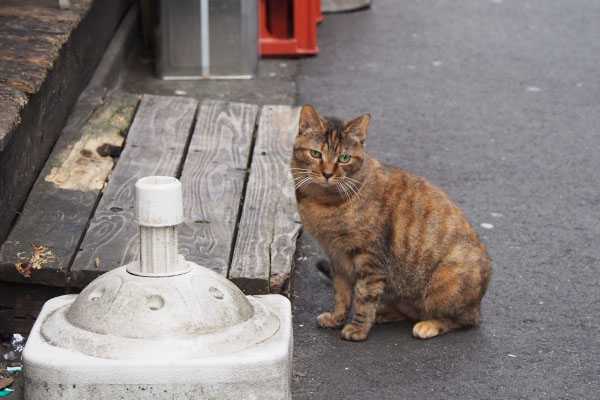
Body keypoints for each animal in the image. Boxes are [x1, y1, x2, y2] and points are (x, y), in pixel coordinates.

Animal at [290, 104, 492, 340]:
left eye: (344, 158)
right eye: (315, 154)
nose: (328, 174)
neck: (323, 202)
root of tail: (478, 304)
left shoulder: (370, 260)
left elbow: (364, 297)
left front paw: (358, 328)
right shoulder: (337, 258)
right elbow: (342, 295)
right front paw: (336, 319)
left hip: (447, 282)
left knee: (460, 319)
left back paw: (428, 325)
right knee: (407, 311)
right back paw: (384, 313)